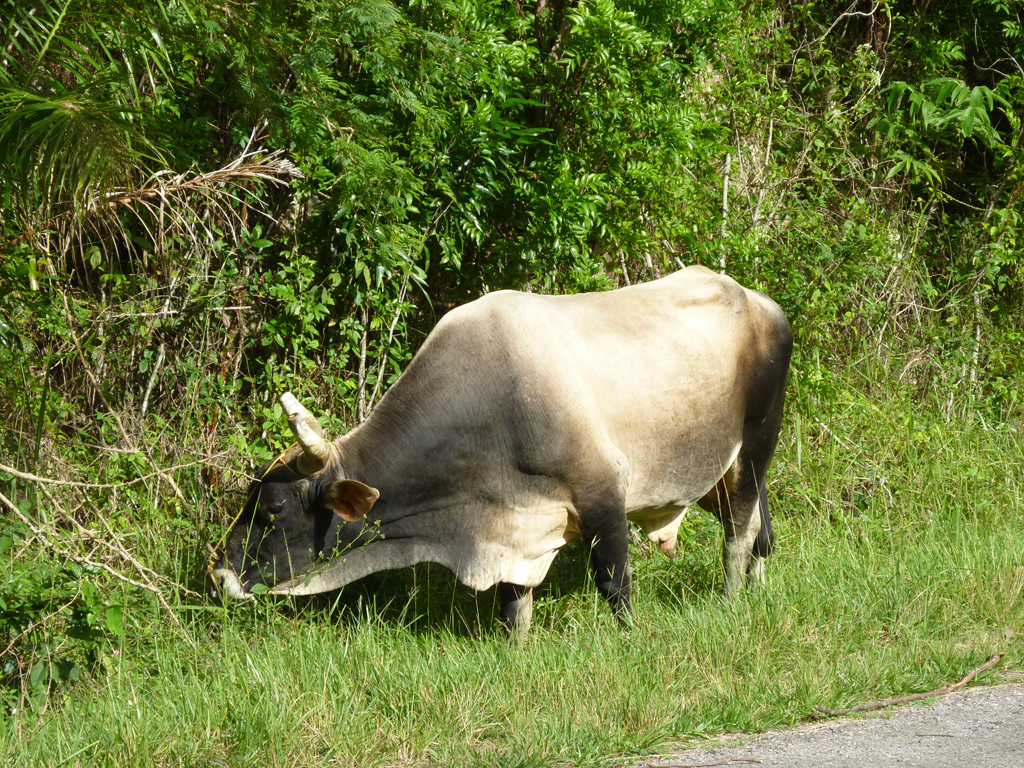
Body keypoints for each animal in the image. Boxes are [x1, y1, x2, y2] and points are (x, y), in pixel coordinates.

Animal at [209, 265, 792, 637]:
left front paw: (631, 640)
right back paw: (758, 592)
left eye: (273, 508)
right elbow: (515, 606)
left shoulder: (603, 489)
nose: (218, 575)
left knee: (740, 533)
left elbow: (614, 582)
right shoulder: (513, 524)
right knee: (760, 531)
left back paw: (732, 600)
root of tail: (757, 299)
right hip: (717, 472)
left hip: (753, 447)